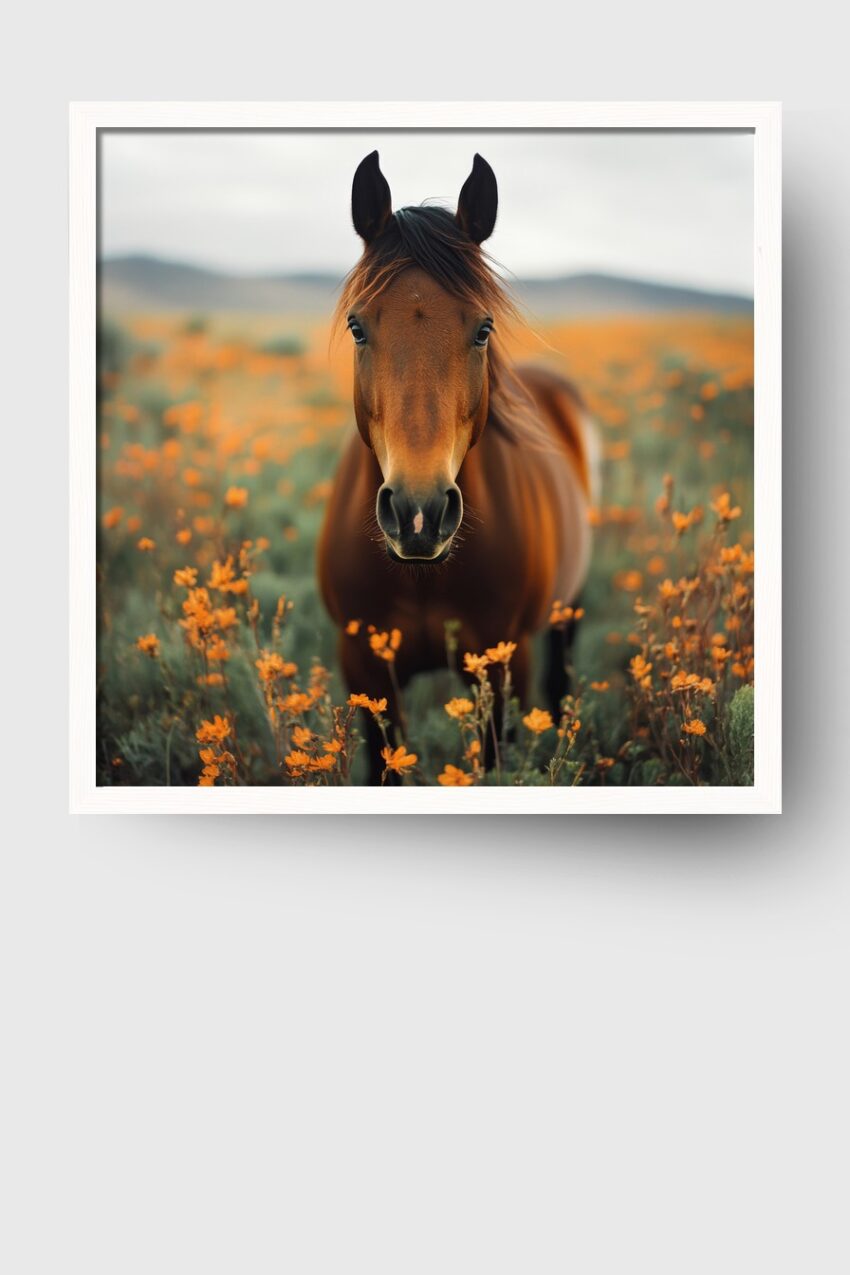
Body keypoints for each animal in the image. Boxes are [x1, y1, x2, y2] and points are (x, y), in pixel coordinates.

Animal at [318, 151, 596, 783]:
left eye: (483, 328)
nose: (418, 513)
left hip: (568, 610)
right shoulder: (365, 669)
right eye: (357, 326)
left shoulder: (500, 664)